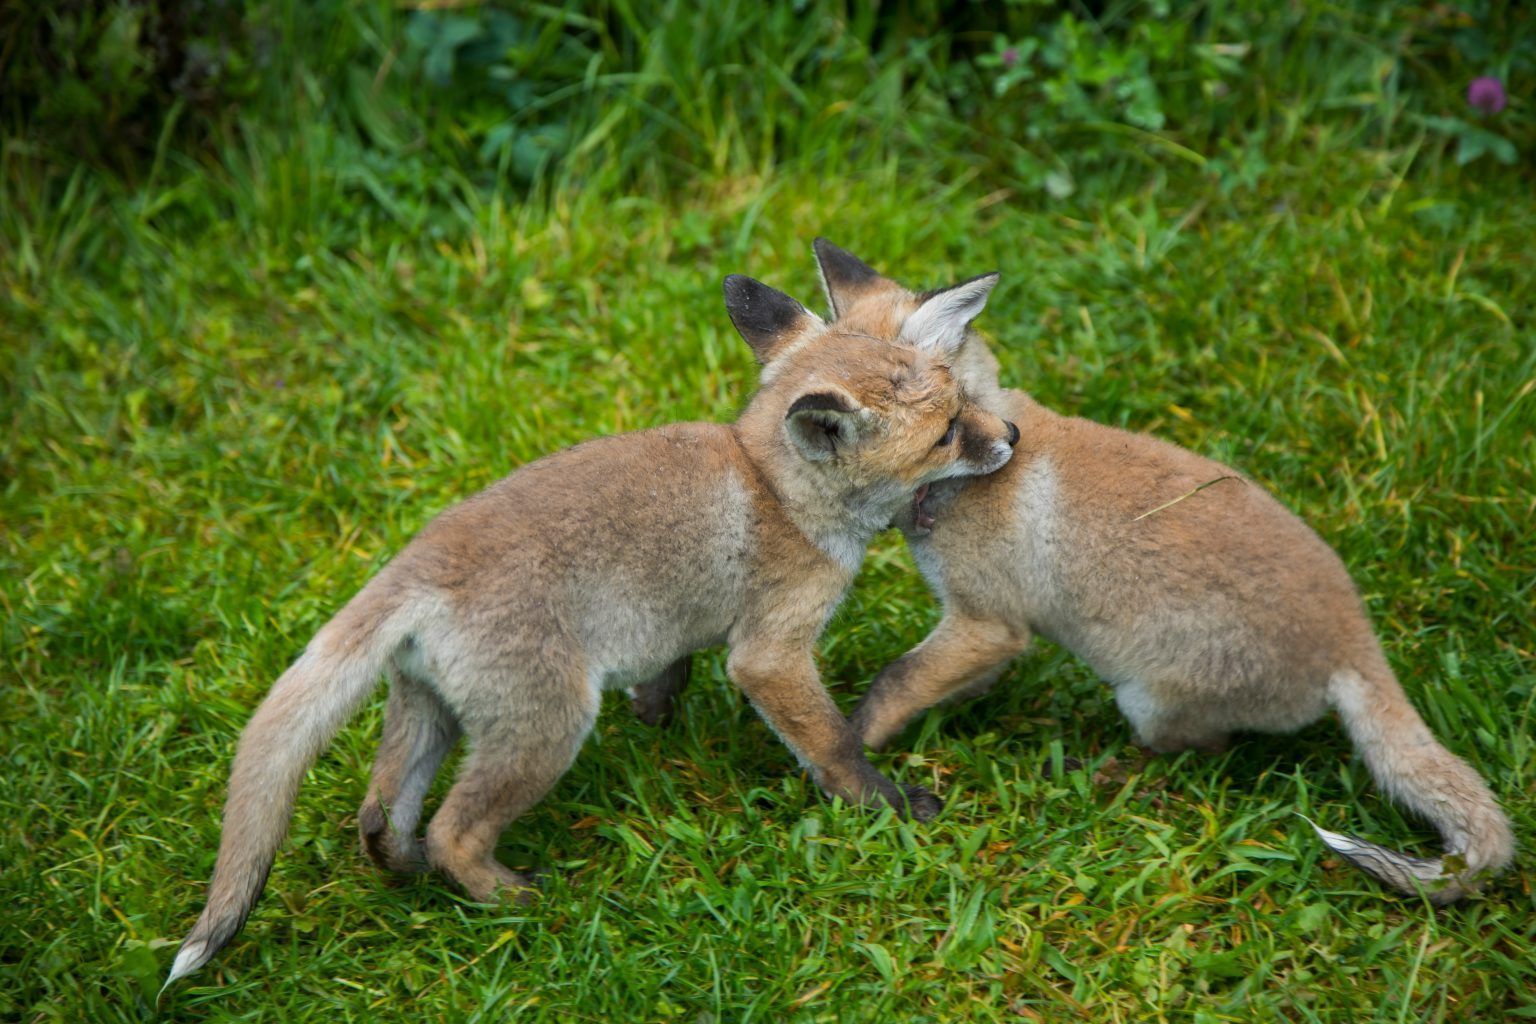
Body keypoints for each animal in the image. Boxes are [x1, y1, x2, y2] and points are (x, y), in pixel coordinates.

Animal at [163, 271, 1020, 987]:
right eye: (947, 432)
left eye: (959, 401)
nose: (1011, 435)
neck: (774, 486)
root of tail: (418, 562)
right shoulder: (770, 653)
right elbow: (834, 745)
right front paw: (890, 807)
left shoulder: (685, 619)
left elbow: (672, 666)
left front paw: (657, 715)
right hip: (548, 728)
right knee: (451, 832)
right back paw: (523, 902)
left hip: (432, 712)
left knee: (379, 816)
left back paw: (409, 875)